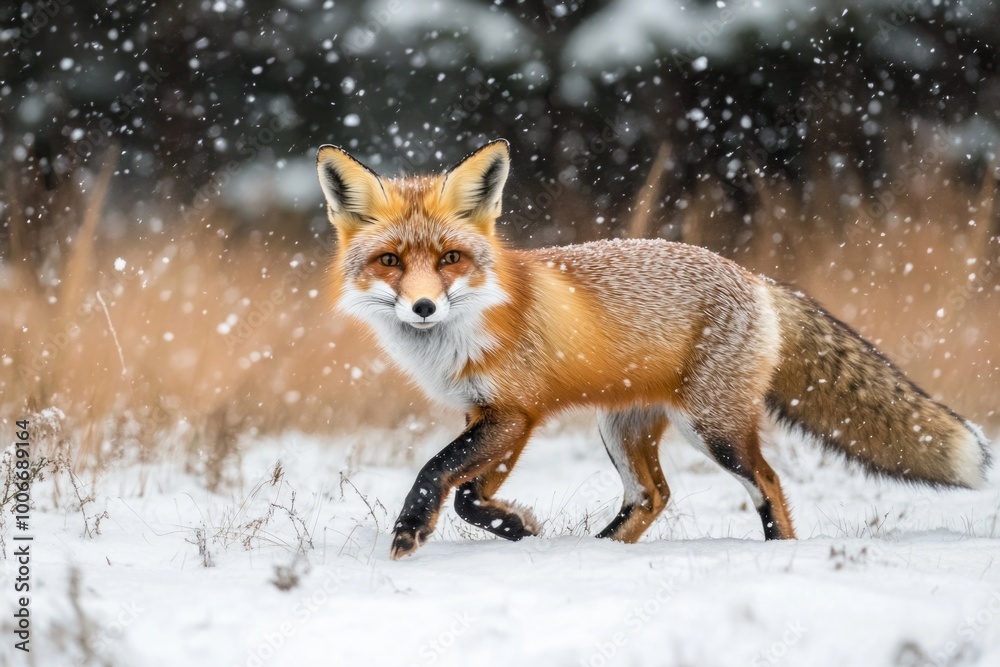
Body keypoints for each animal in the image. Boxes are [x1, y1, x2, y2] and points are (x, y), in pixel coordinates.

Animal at [315, 139, 992, 560]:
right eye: (390, 261)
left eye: (451, 258)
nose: (423, 308)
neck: (468, 328)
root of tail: (755, 278)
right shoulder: (494, 416)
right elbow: (467, 493)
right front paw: (520, 528)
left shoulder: (515, 412)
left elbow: (440, 475)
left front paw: (412, 531)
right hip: (623, 427)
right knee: (652, 496)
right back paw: (598, 553)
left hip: (713, 429)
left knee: (768, 483)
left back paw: (779, 554)